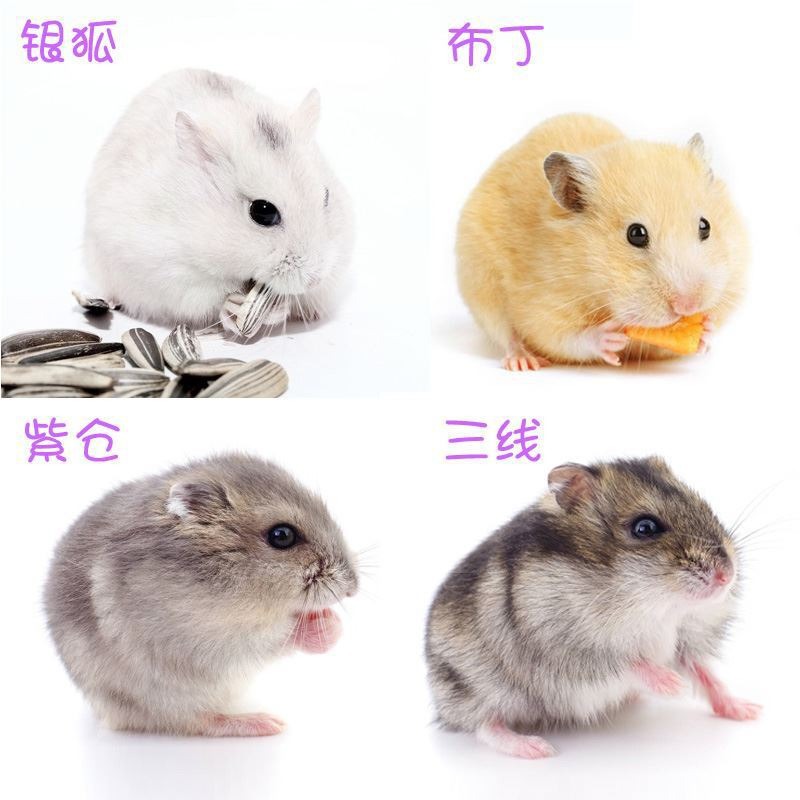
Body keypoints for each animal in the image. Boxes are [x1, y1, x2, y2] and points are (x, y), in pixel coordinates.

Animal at [44, 453, 358, 737]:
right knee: (199, 721)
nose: (353, 588)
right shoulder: (200, 641)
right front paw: (329, 627)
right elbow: (274, 637)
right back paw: (266, 723)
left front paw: (329, 619)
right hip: (158, 700)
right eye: (282, 536)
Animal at [84, 69, 354, 333]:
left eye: (326, 196)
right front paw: (236, 306)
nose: (315, 280)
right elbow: (213, 297)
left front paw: (285, 308)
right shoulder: (168, 269)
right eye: (263, 212)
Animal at [425, 457, 760, 759]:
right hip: (474, 688)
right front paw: (672, 685)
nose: (726, 575)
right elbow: (628, 661)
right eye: (645, 527)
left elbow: (705, 674)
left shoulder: (685, 641)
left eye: (703, 504)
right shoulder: (566, 646)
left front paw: (750, 711)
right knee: (484, 724)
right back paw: (536, 748)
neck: (656, 604)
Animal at [456, 114, 748, 369]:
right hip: (480, 280)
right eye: (636, 234)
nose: (688, 306)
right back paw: (523, 361)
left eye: (705, 226)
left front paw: (706, 328)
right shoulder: (541, 306)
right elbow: (564, 338)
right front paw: (608, 336)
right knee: (506, 334)